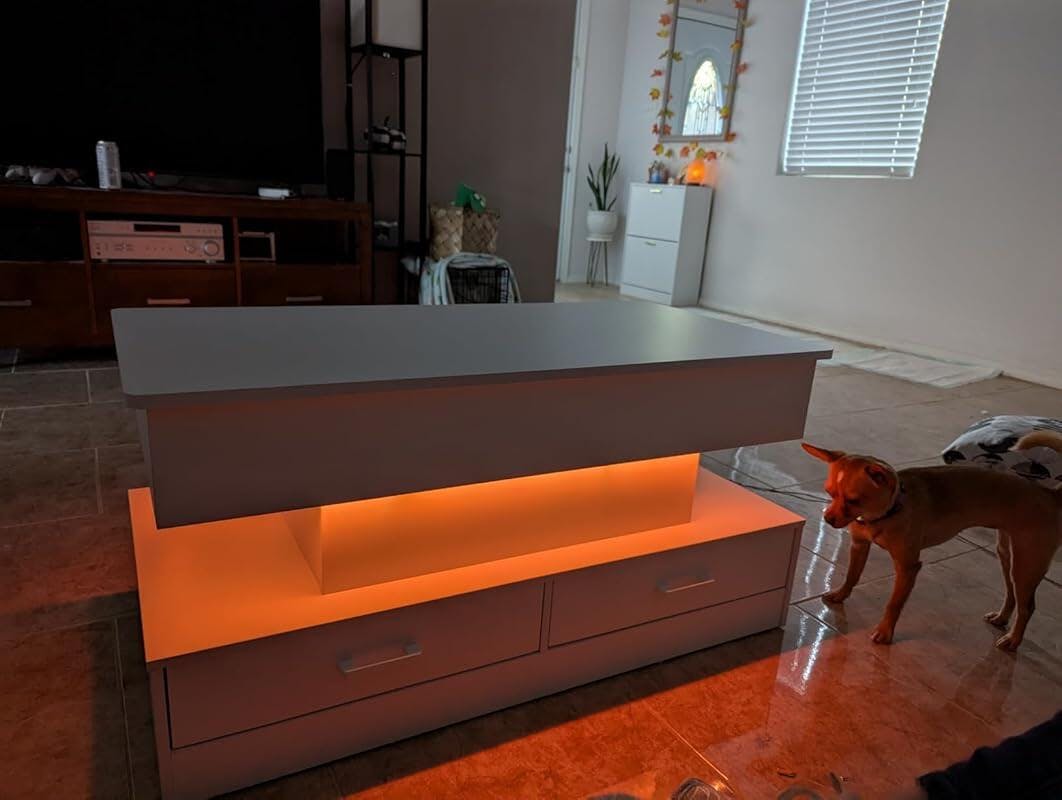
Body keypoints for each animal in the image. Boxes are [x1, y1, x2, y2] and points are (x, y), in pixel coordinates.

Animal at [801, 440, 1061, 650]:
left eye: (854, 500)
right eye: (829, 493)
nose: (828, 519)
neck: (887, 513)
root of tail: (1048, 494)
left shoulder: (907, 568)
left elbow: (894, 604)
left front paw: (885, 632)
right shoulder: (859, 546)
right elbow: (852, 576)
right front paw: (840, 594)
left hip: (1026, 565)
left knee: (1028, 606)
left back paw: (1013, 640)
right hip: (1008, 557)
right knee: (1012, 594)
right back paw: (1001, 619)